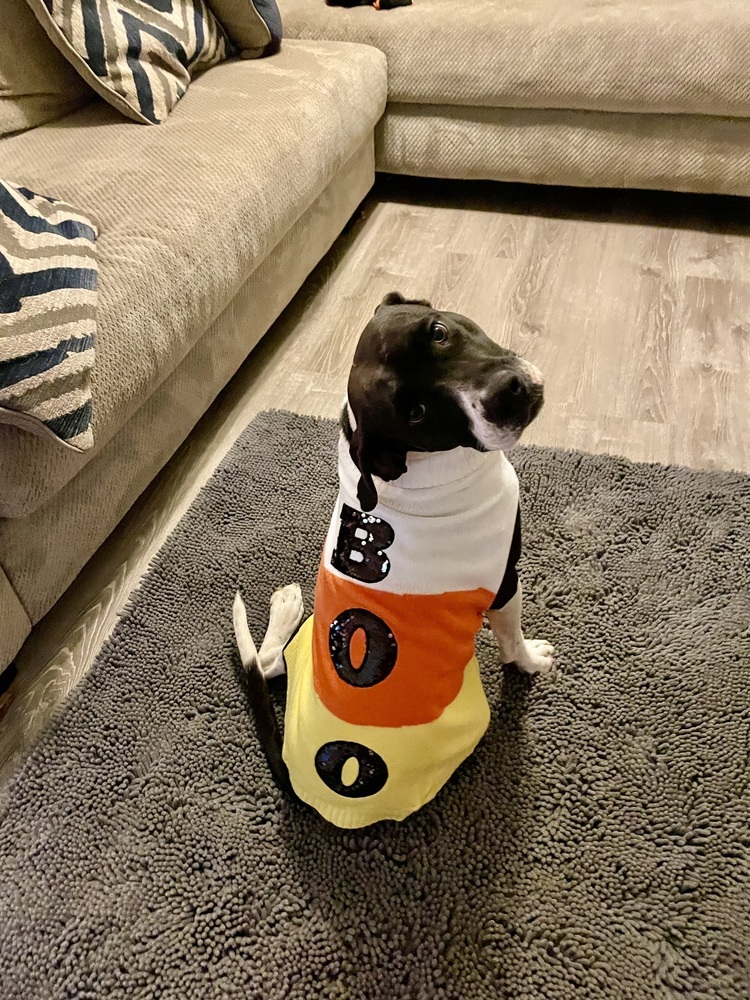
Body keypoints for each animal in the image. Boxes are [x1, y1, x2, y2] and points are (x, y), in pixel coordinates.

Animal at [235, 292, 560, 828]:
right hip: (471, 713)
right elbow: (512, 638)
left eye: (438, 332)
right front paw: (531, 661)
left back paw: (284, 609)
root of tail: (300, 783)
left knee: (266, 663)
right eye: (417, 414)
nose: (505, 395)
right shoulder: (504, 582)